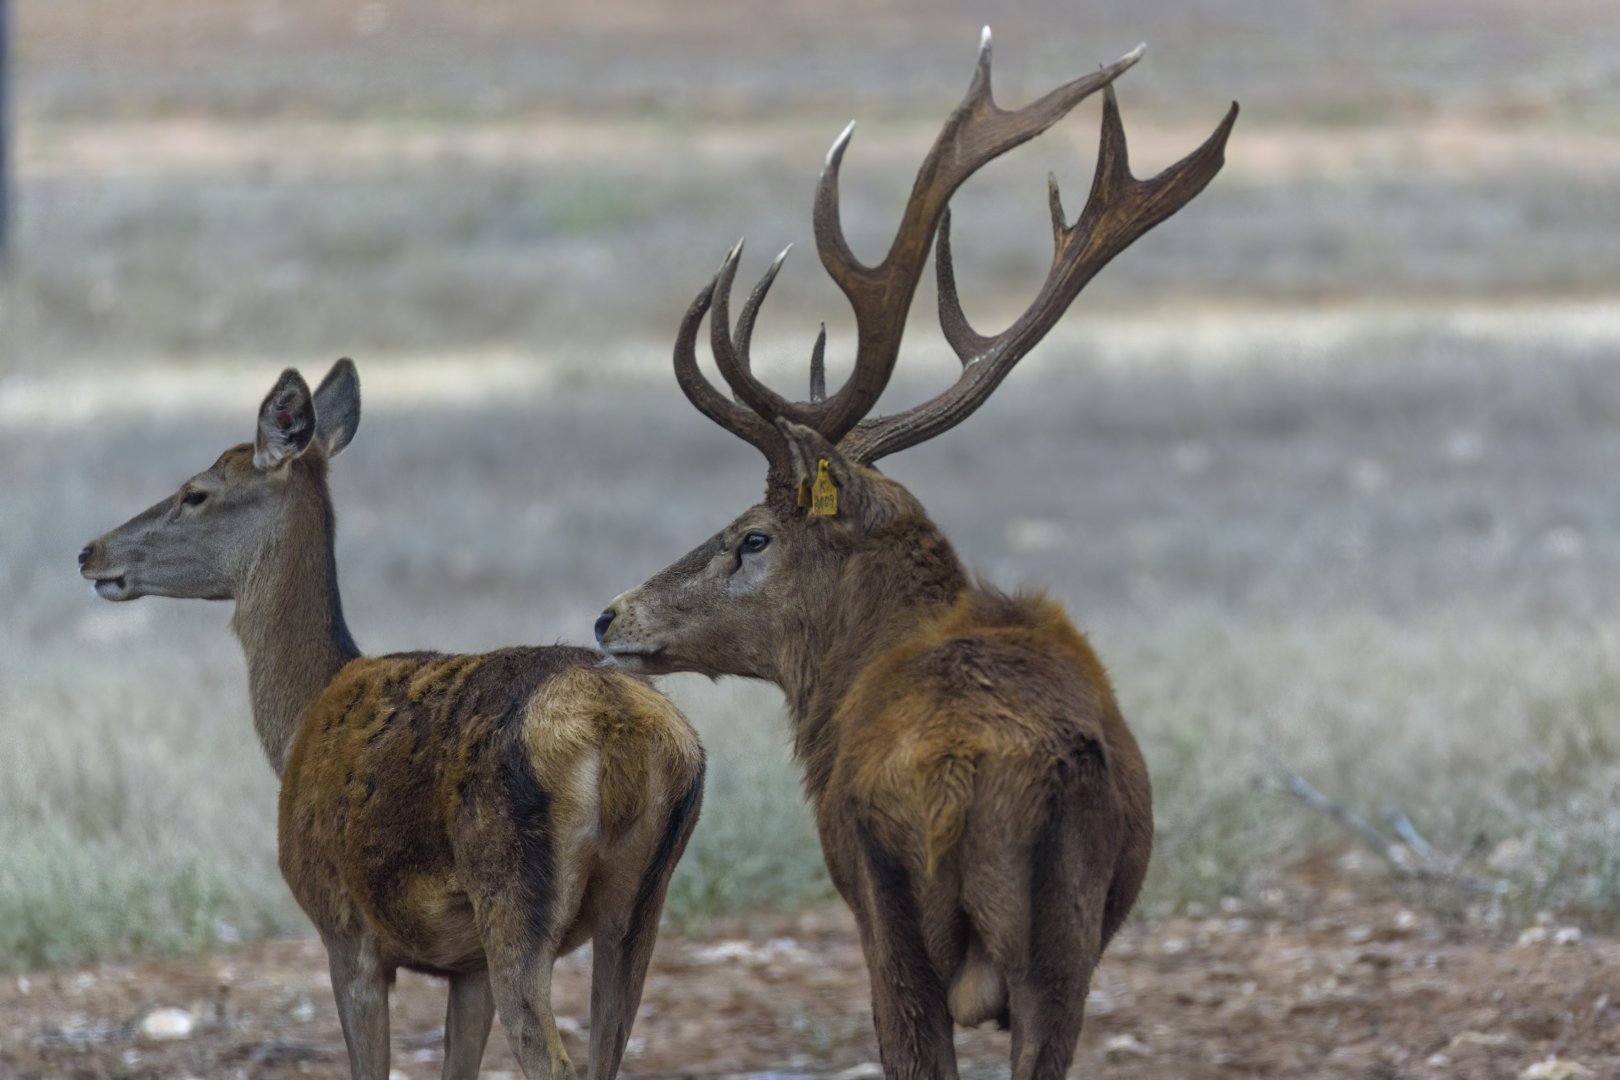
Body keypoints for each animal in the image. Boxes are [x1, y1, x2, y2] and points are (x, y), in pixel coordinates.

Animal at [78, 359, 705, 1080]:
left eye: (196, 493)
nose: (89, 552)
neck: (300, 717)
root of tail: (625, 736)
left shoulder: (344, 928)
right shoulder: (466, 966)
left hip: (513, 888)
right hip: (642, 901)